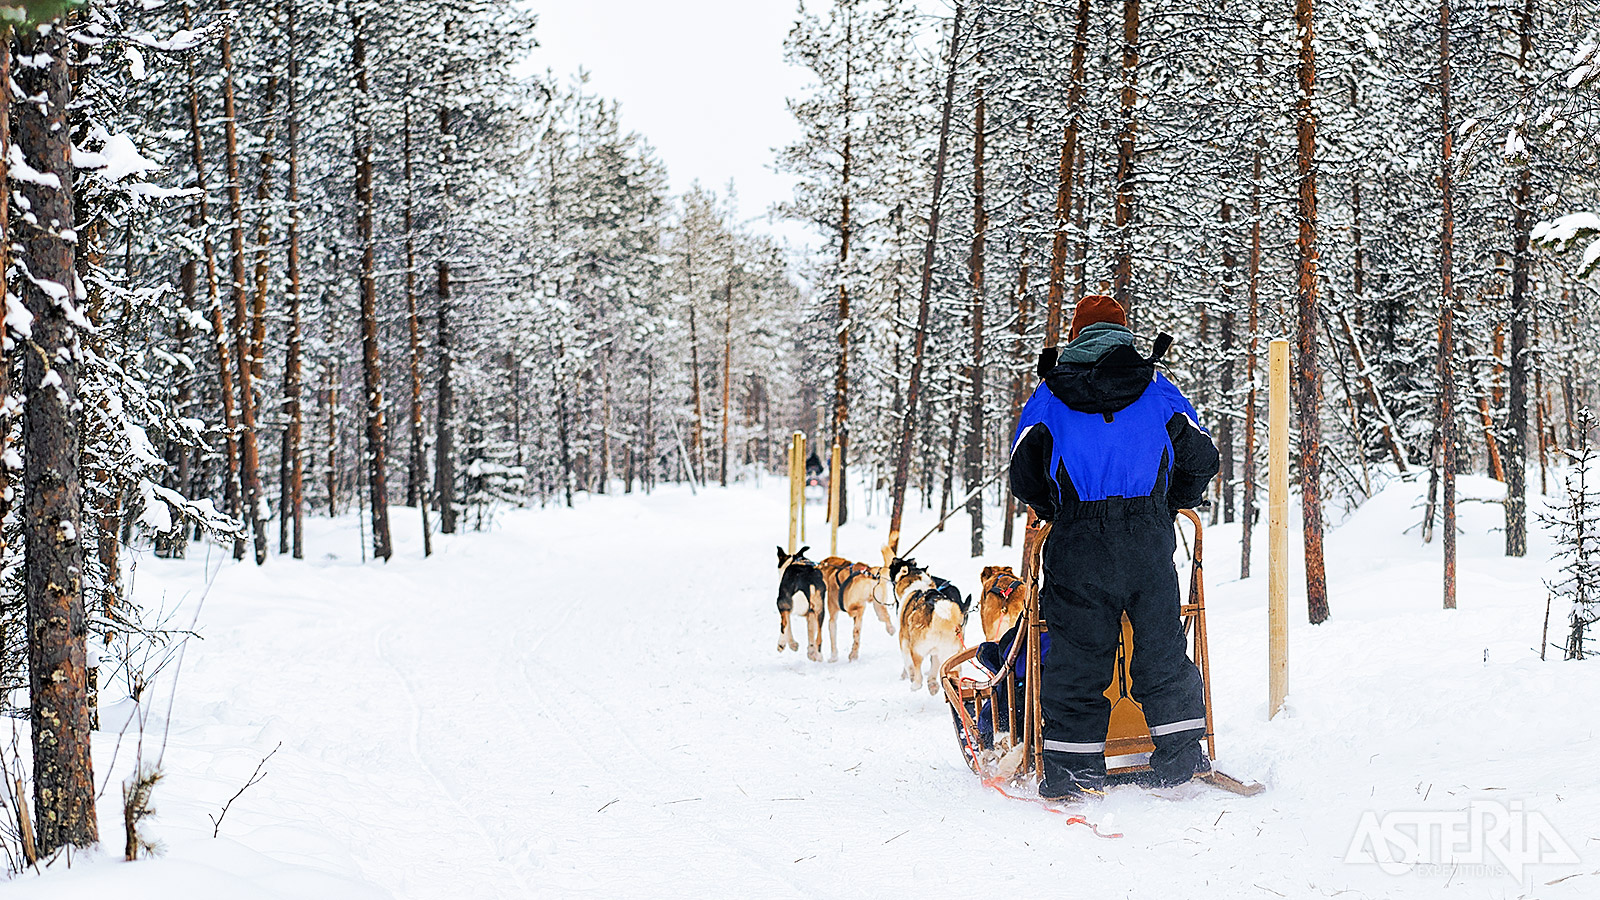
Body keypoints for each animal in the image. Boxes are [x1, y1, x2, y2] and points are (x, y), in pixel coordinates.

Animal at [883, 554, 966, 695]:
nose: (895, 558)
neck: (918, 587)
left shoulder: (904, 640)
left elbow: (908, 663)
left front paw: (911, 676)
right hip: (949, 655)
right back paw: (935, 685)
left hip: (917, 649)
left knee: (917, 669)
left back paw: (916, 684)